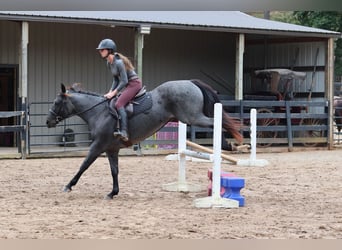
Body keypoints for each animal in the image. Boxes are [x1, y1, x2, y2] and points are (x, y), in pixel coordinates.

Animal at [46, 79, 243, 198]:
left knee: (217, 122)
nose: (48, 121)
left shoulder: (98, 146)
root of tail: (190, 82)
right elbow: (114, 171)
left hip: (193, 117)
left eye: (56, 103)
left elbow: (84, 165)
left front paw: (69, 185)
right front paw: (113, 192)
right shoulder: (111, 149)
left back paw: (228, 144)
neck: (98, 112)